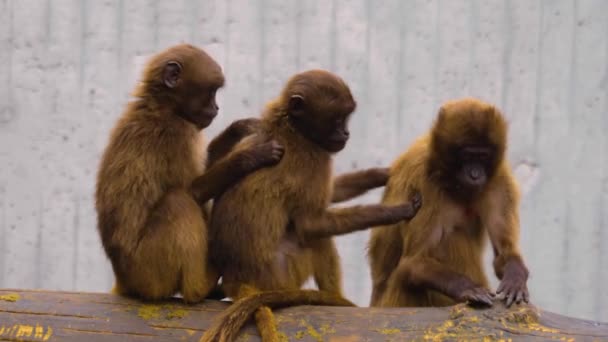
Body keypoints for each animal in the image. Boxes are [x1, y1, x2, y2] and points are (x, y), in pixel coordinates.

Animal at [95, 44, 284, 304]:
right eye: (211, 92)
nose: (216, 108)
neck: (162, 107)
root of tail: (124, 280)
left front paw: (238, 129)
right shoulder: (176, 133)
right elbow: (193, 191)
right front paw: (249, 156)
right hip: (149, 271)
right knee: (178, 200)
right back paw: (199, 288)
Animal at [202, 69, 420, 342]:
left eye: (345, 118)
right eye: (338, 118)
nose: (346, 134)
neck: (291, 128)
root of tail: (237, 277)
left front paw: (381, 175)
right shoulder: (314, 158)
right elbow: (311, 225)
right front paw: (397, 211)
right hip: (283, 274)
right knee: (317, 239)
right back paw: (336, 300)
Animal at [368, 97, 528, 310]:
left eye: (483, 156)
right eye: (467, 156)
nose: (475, 174)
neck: (450, 180)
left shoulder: (498, 180)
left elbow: (504, 254)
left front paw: (515, 274)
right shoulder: (424, 182)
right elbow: (413, 264)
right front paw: (465, 287)